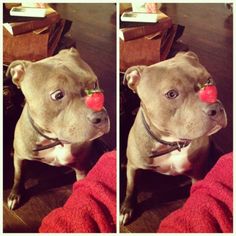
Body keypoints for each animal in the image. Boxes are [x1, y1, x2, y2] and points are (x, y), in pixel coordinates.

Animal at [6, 48, 109, 210]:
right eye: (57, 95)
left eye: (94, 84)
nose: (101, 116)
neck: (55, 140)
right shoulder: (20, 157)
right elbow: (18, 176)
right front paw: (15, 194)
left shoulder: (81, 167)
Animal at [121, 51, 228, 225]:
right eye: (171, 94)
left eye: (208, 80)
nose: (216, 108)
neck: (172, 143)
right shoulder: (133, 167)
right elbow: (131, 188)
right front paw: (126, 209)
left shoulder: (197, 174)